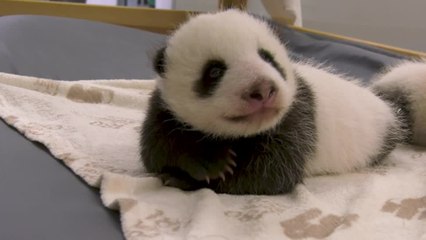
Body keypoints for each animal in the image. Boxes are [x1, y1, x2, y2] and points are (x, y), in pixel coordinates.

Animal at [141, 10, 426, 196]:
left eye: (268, 58)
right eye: (214, 71)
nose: (263, 90)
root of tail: (389, 107)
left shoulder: (297, 119)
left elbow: (268, 176)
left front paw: (187, 179)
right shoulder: (166, 110)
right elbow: (156, 149)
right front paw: (207, 163)